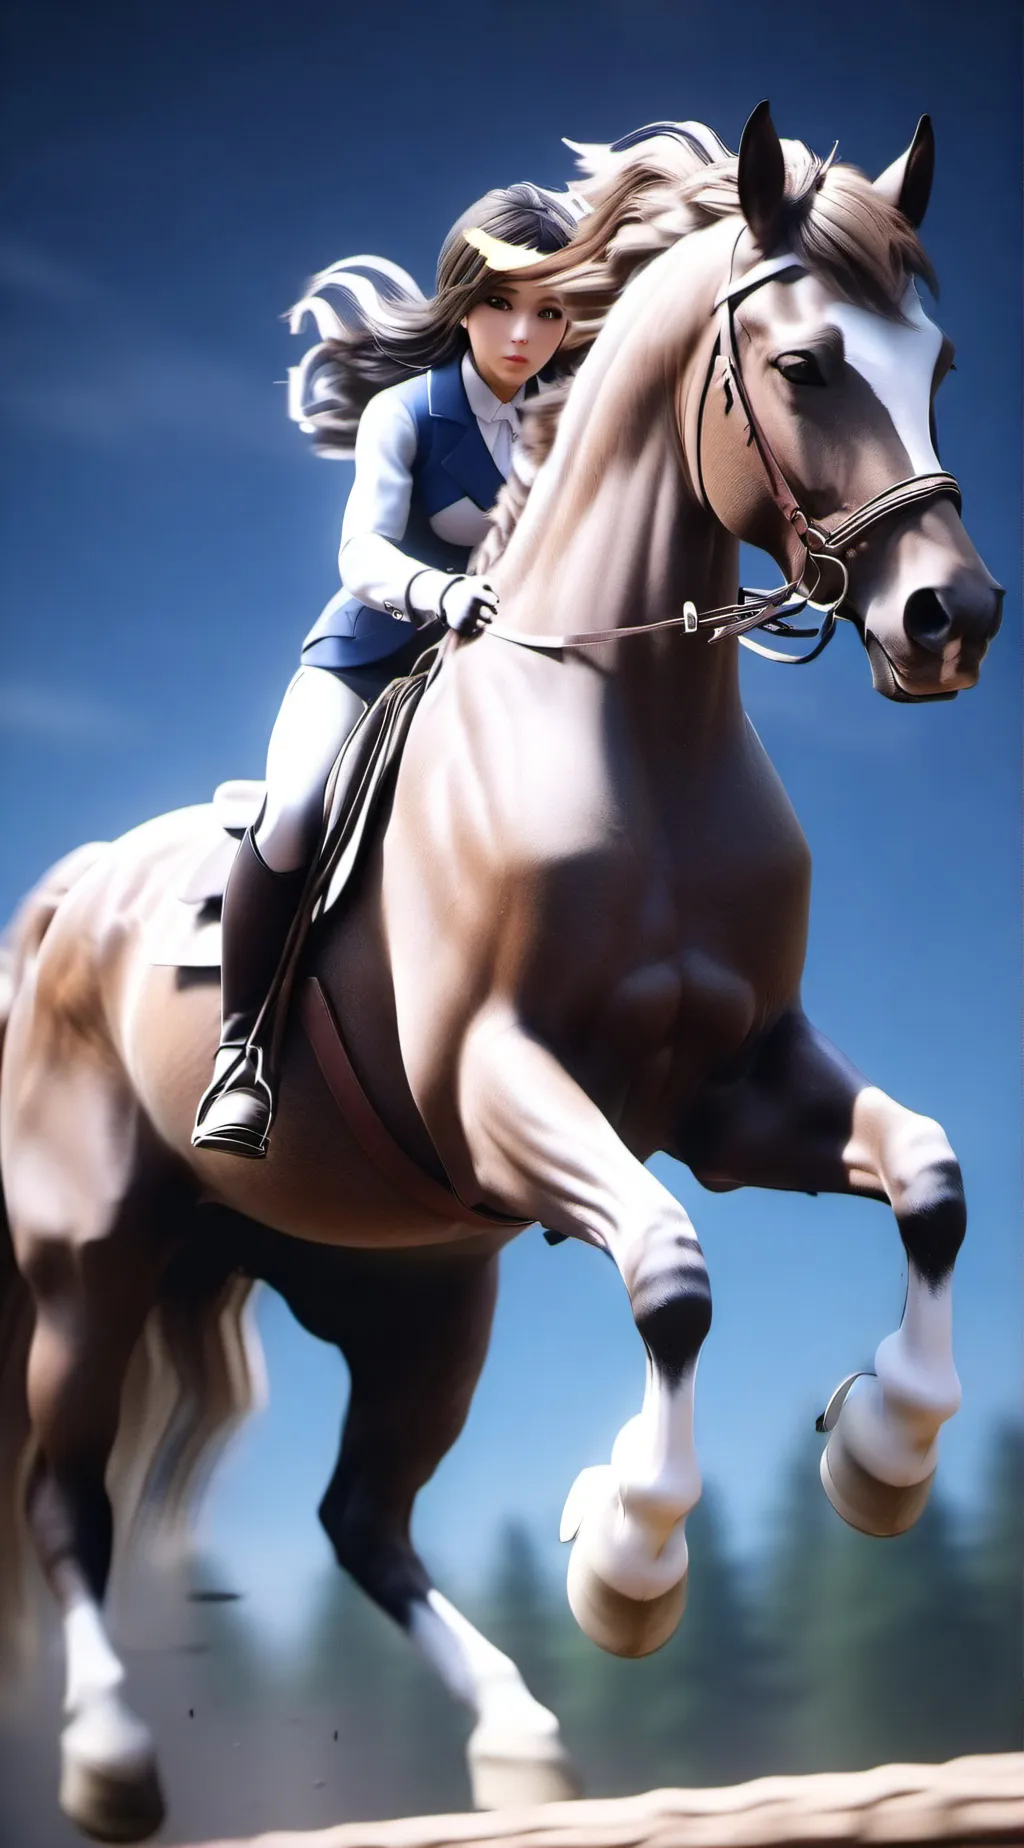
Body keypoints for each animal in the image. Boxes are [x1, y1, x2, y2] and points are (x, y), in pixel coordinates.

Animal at [0, 104, 1003, 1843]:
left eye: (934, 361)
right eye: (807, 365)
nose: (952, 618)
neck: (635, 735)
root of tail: (67, 900)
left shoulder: (739, 1095)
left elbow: (929, 1176)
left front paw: (879, 1456)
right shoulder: (505, 1091)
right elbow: (670, 1275)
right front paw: (630, 1557)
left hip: (411, 1293)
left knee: (363, 1519)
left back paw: (526, 1740)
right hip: (94, 1265)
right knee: (71, 1501)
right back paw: (114, 1760)